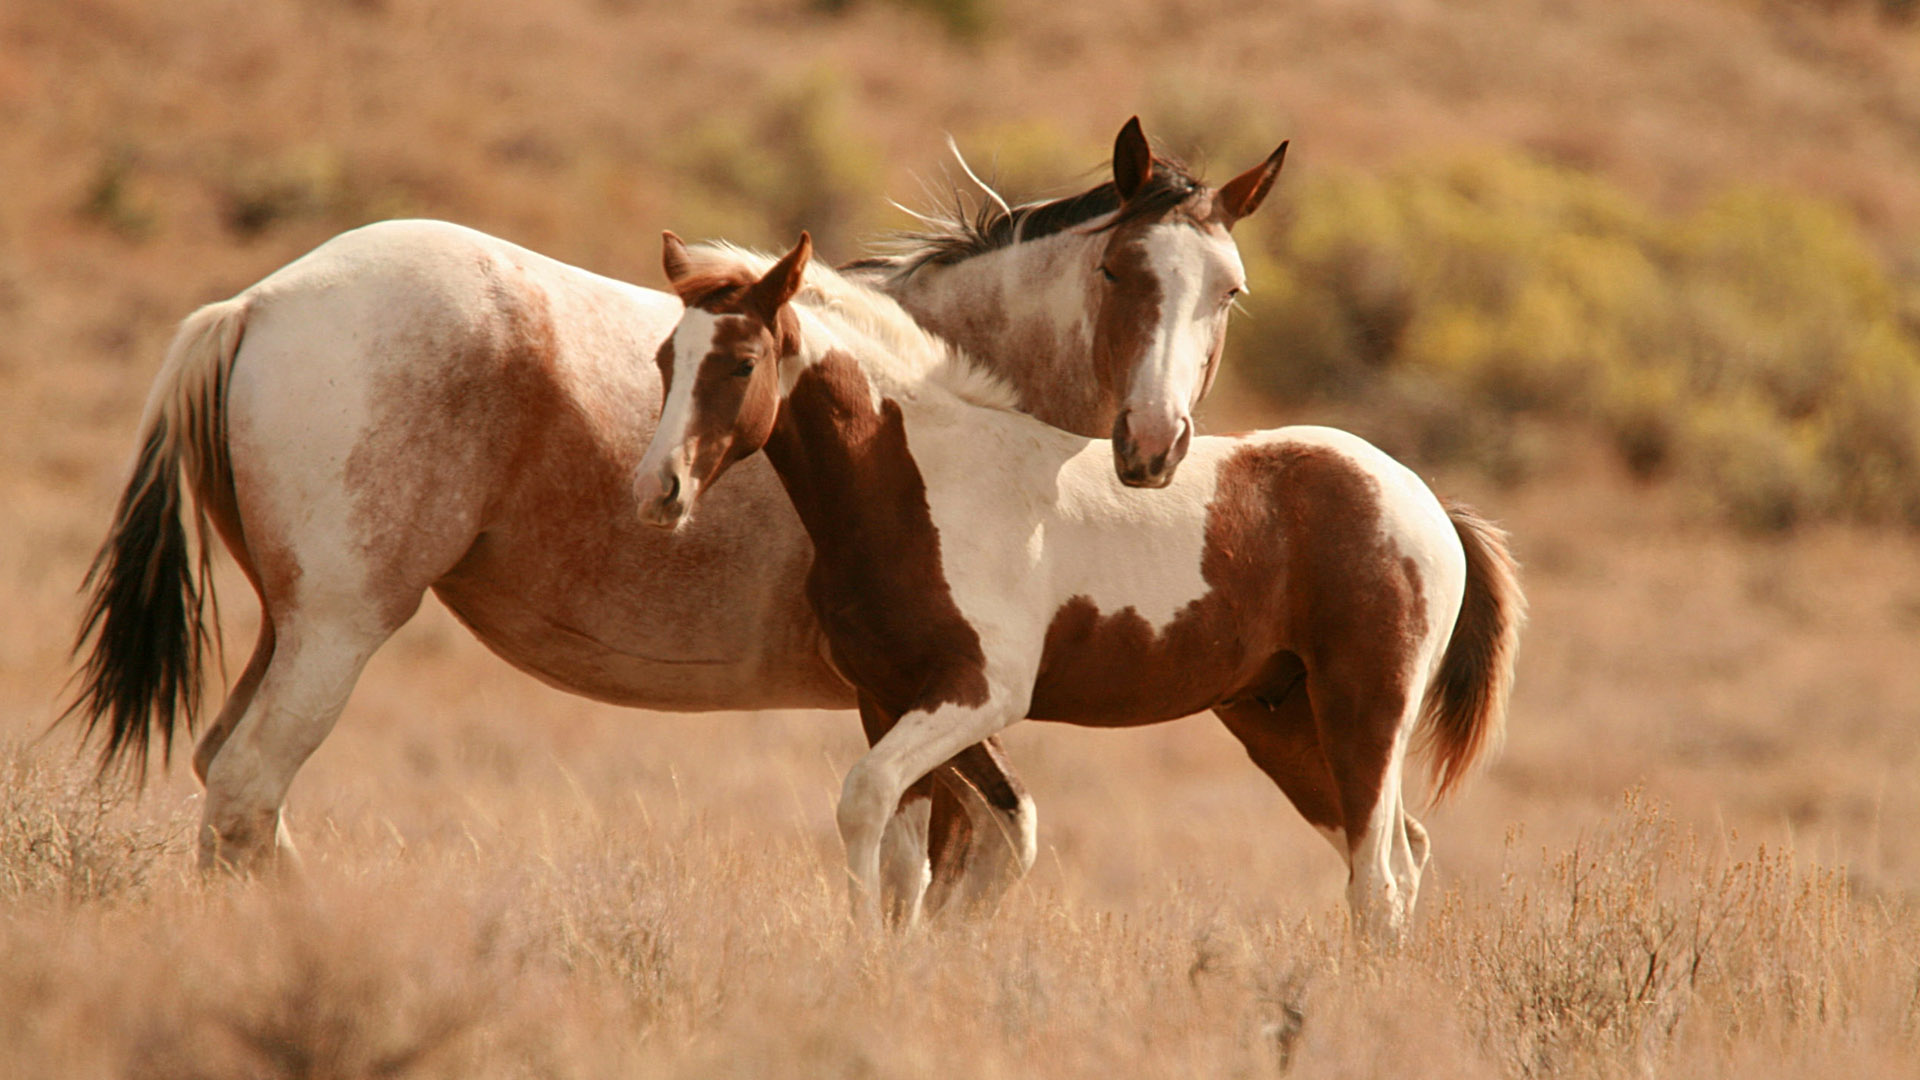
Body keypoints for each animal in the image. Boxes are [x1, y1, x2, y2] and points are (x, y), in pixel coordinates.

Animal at [67, 119, 1290, 907]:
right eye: (1123, 271)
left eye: (1228, 291)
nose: (1154, 446)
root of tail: (256, 303)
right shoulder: (922, 701)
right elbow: (952, 860)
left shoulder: (918, 706)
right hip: (337, 629)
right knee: (246, 794)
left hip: (289, 626)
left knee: (233, 792)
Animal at [645, 235, 1528, 933]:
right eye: (663, 361)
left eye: (743, 363)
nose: (660, 489)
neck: (916, 482)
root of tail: (1426, 501)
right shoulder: (887, 698)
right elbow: (904, 860)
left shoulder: (980, 694)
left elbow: (864, 802)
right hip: (1282, 722)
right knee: (1397, 856)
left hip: (1364, 710)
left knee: (1379, 880)